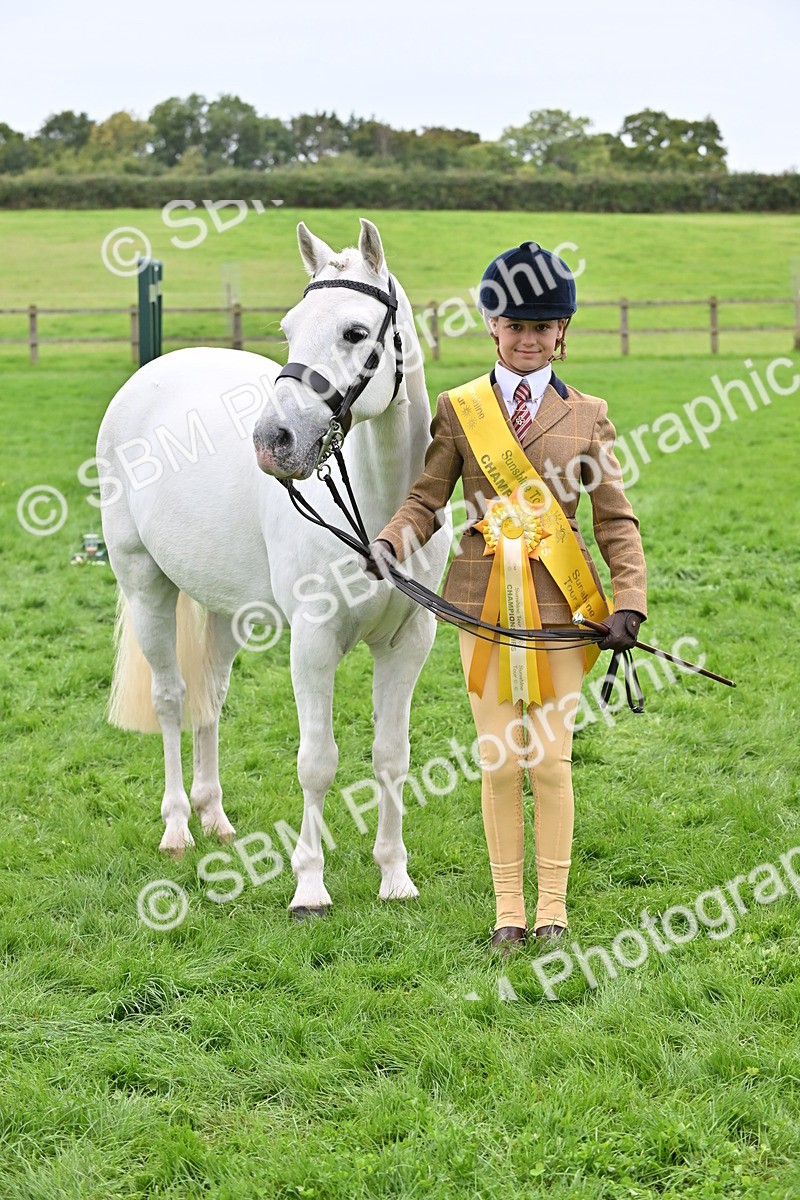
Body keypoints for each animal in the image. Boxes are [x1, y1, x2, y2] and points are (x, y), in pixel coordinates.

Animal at [97, 218, 452, 916]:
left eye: (355, 332)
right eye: (289, 328)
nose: (273, 441)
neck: (377, 509)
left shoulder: (408, 641)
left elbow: (391, 757)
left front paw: (394, 876)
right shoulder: (312, 643)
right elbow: (317, 761)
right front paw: (309, 886)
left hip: (223, 610)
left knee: (208, 699)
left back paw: (214, 817)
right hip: (145, 585)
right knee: (173, 699)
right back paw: (177, 827)